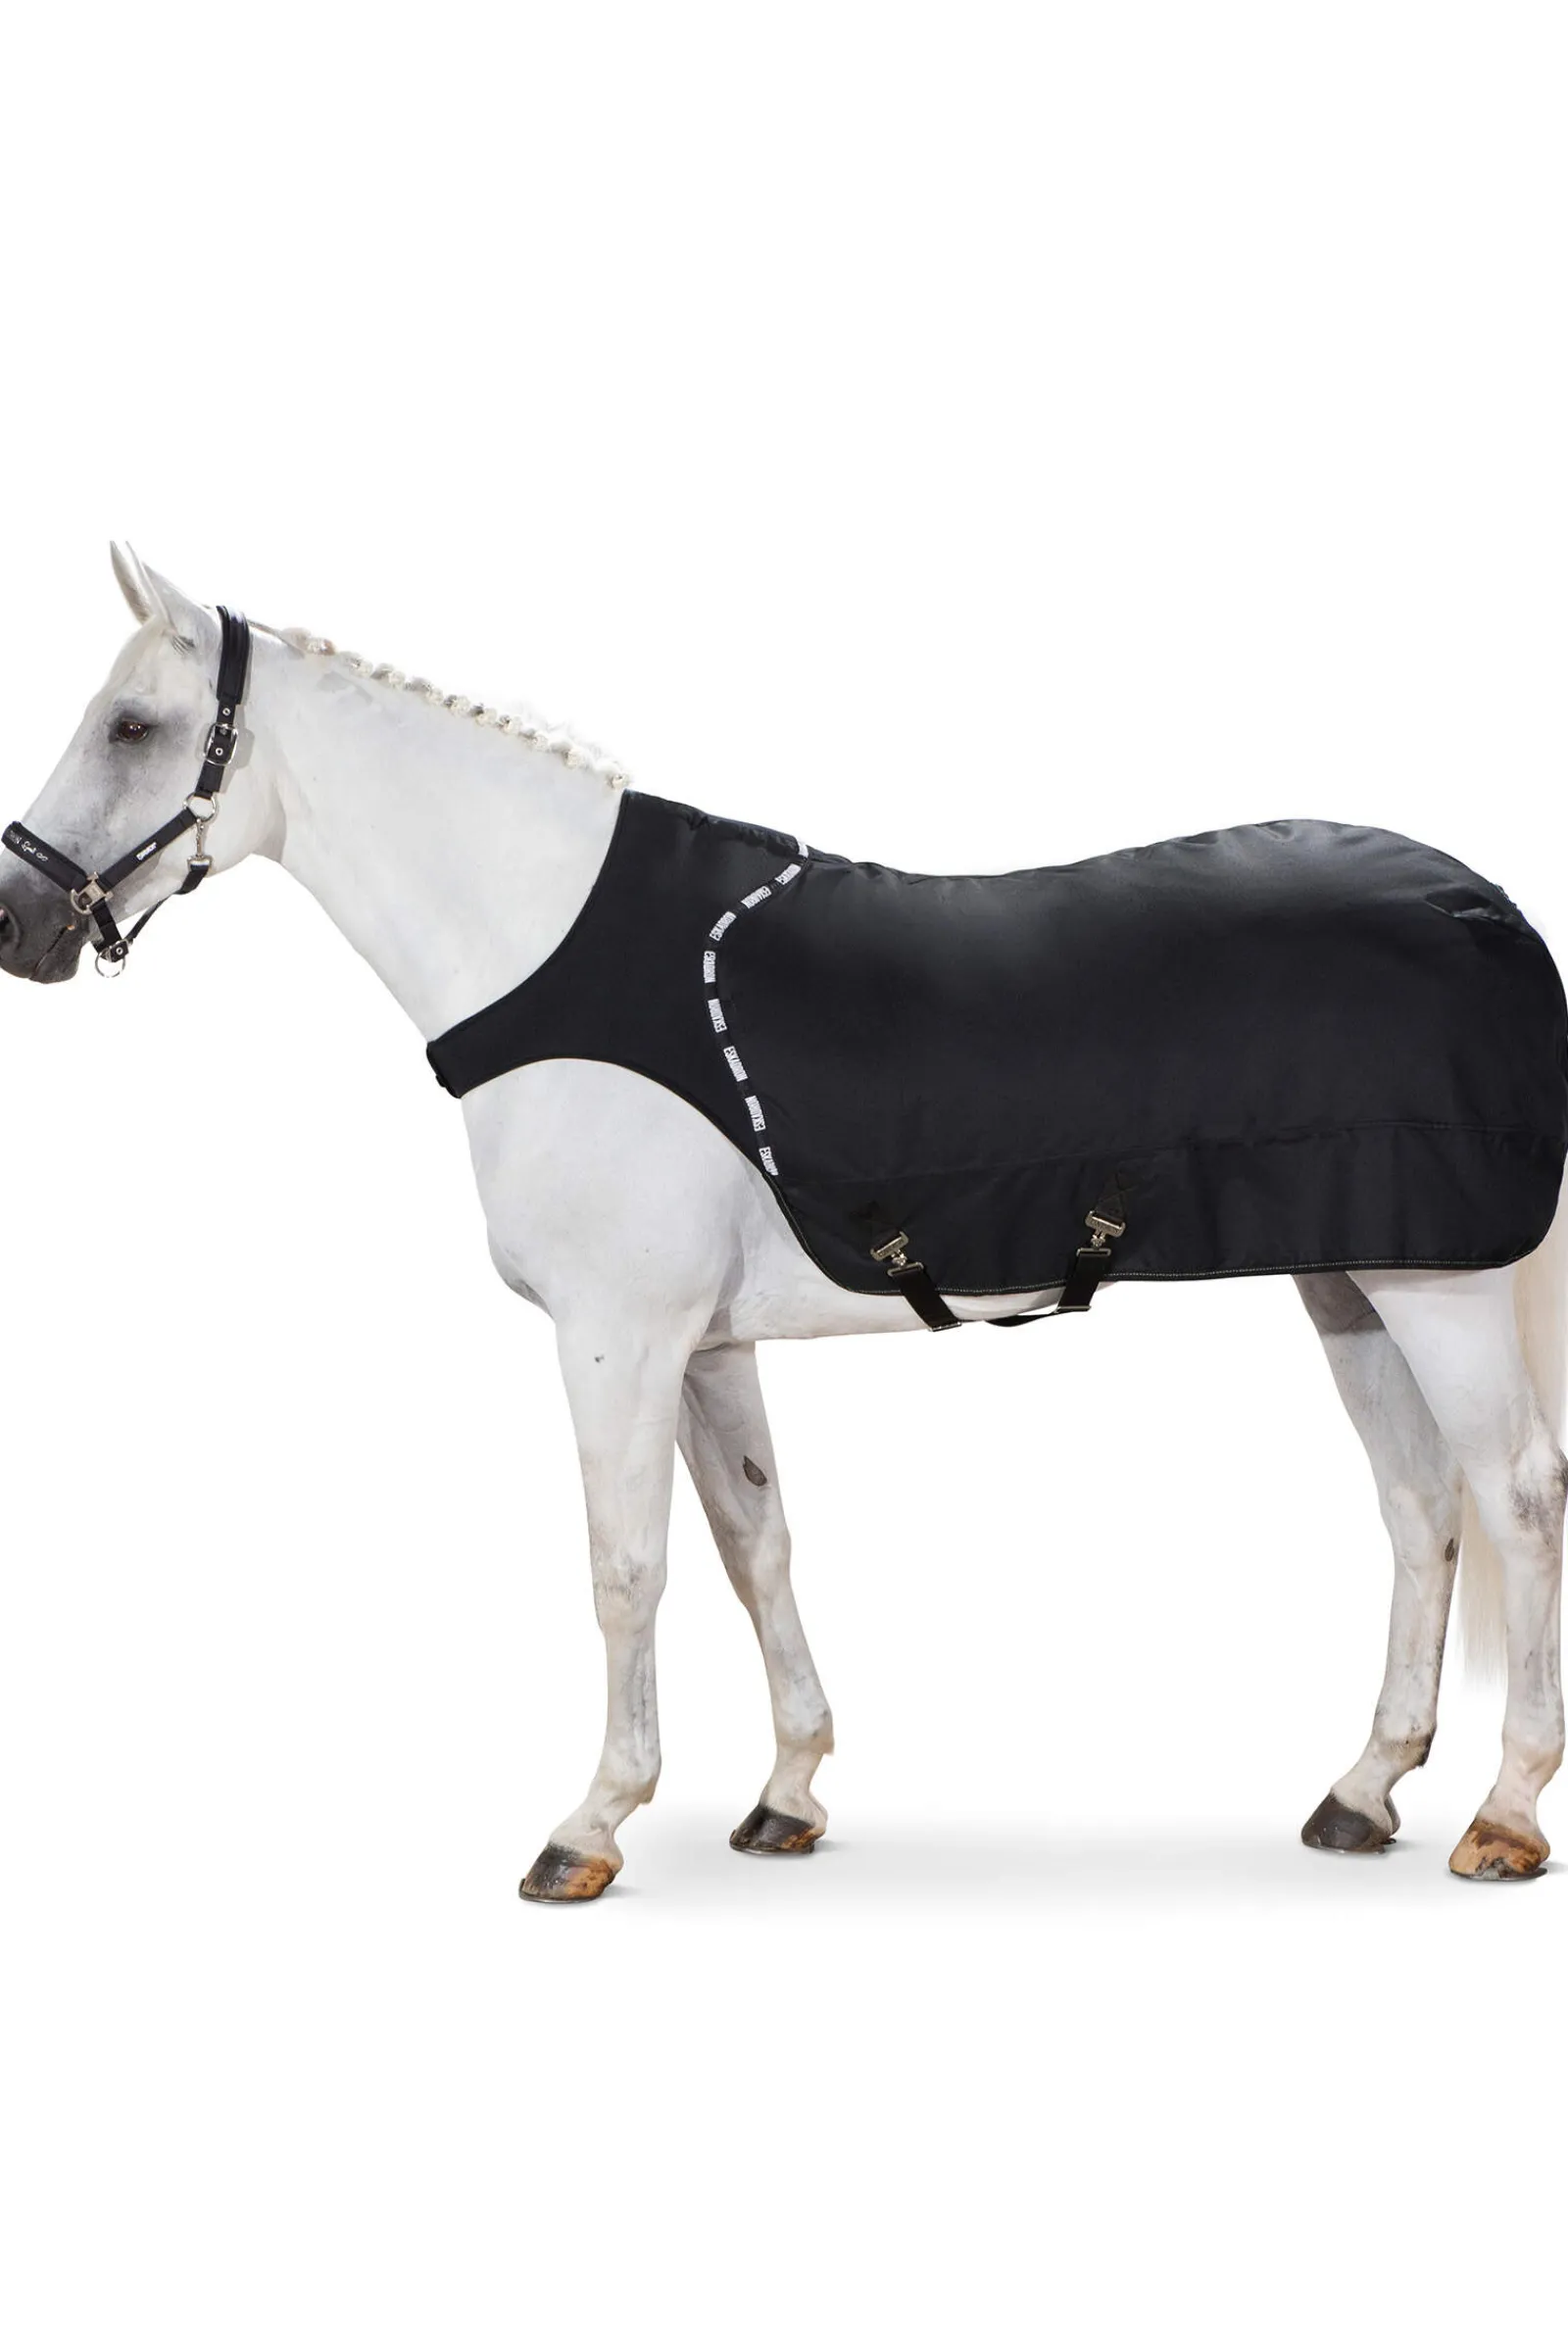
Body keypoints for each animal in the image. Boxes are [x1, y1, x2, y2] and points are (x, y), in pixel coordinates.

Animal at [2, 545, 1562, 1902]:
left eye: (133, 725)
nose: (20, 924)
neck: (548, 949)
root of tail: (1479, 907)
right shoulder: (702, 1346)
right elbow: (755, 1544)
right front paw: (789, 1792)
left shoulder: (617, 1339)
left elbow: (625, 1569)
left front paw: (591, 1824)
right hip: (1353, 1281)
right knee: (1419, 1505)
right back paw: (1364, 1790)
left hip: (1435, 1290)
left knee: (1515, 1494)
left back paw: (1500, 1813)